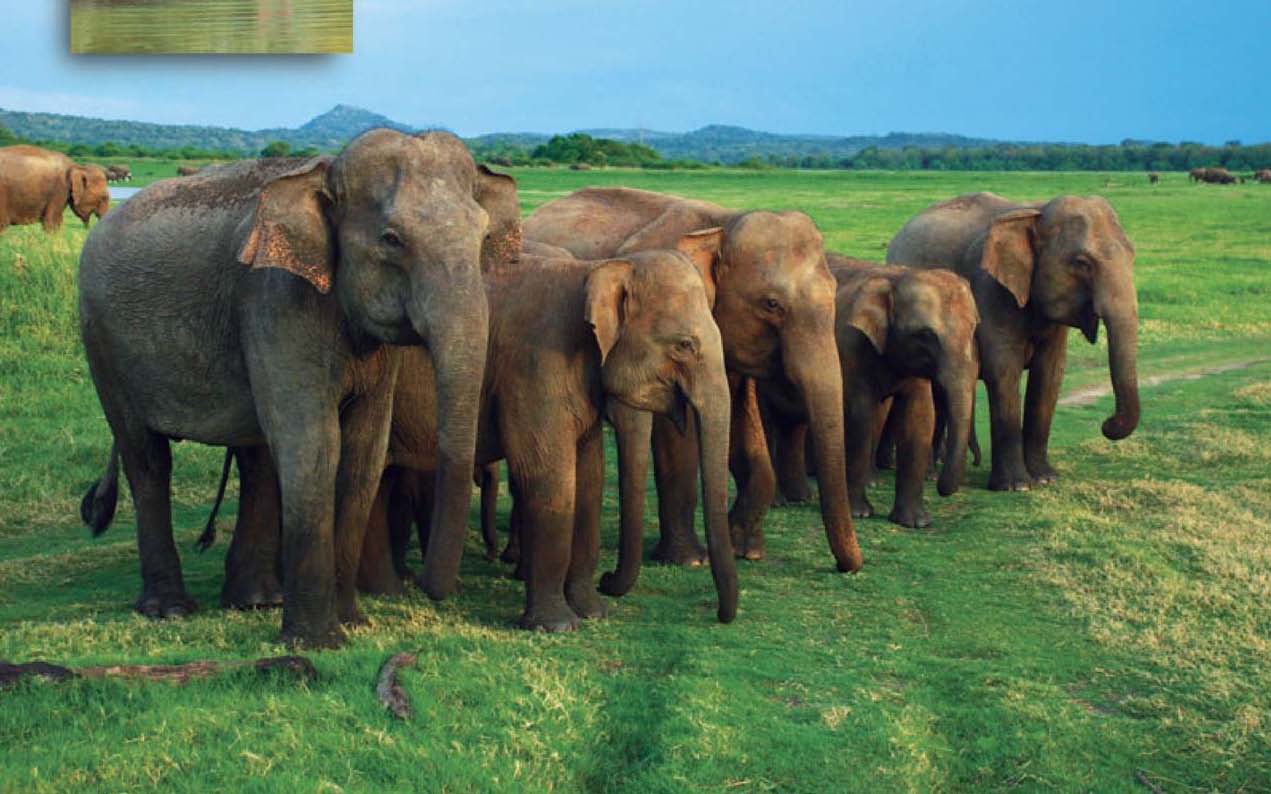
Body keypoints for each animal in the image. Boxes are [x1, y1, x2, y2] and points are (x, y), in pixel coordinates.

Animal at [77, 129, 500, 648]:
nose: (426, 588)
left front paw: (353, 623)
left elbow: (364, 452)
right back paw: (170, 610)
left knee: (256, 456)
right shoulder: (274, 297)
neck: (326, 171)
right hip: (103, 344)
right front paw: (318, 643)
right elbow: (315, 444)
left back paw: (256, 600)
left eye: (484, 237)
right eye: (392, 240)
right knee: (147, 458)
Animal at [525, 188, 862, 594]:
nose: (847, 568)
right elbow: (677, 436)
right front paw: (691, 560)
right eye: (772, 304)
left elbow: (742, 421)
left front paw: (744, 548)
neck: (723, 223)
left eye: (834, 294)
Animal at [760, 254, 979, 528]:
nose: (940, 488)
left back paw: (800, 497)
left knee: (794, 426)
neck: (896, 279)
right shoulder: (849, 346)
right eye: (926, 335)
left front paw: (916, 523)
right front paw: (860, 513)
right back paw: (777, 502)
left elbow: (918, 417)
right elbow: (860, 418)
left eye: (973, 328)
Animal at [887, 192, 1140, 491]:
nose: (1107, 424)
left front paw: (1045, 478)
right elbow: (1004, 369)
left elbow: (1050, 373)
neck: (1036, 212)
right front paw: (1016, 486)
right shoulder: (990, 288)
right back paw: (928, 474)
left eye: (1132, 255)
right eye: (1081, 263)